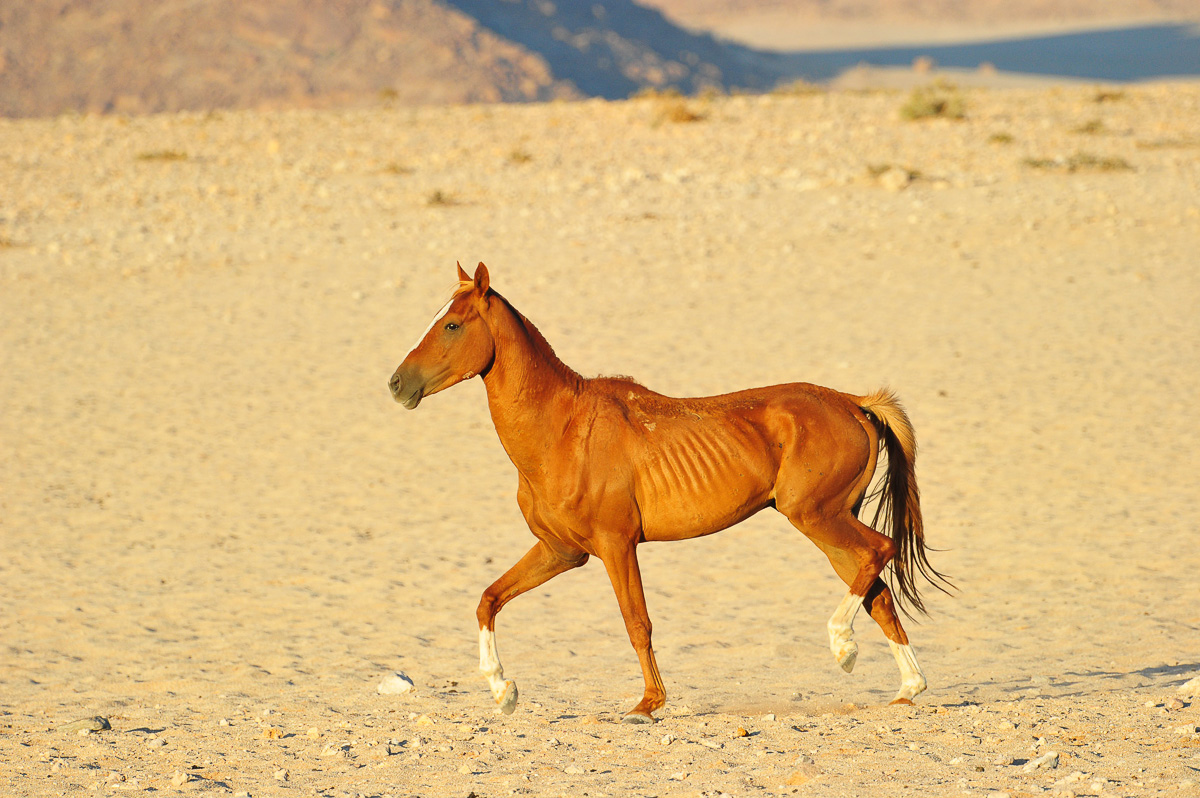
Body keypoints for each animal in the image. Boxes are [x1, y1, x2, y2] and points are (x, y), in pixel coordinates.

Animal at [388, 262, 951, 723]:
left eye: (452, 324)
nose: (396, 384)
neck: (561, 430)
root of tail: (854, 403)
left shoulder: (616, 546)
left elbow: (637, 622)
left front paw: (648, 703)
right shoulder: (561, 551)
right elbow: (488, 599)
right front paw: (503, 691)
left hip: (816, 516)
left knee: (880, 552)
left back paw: (844, 648)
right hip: (829, 526)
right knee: (878, 591)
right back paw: (907, 686)